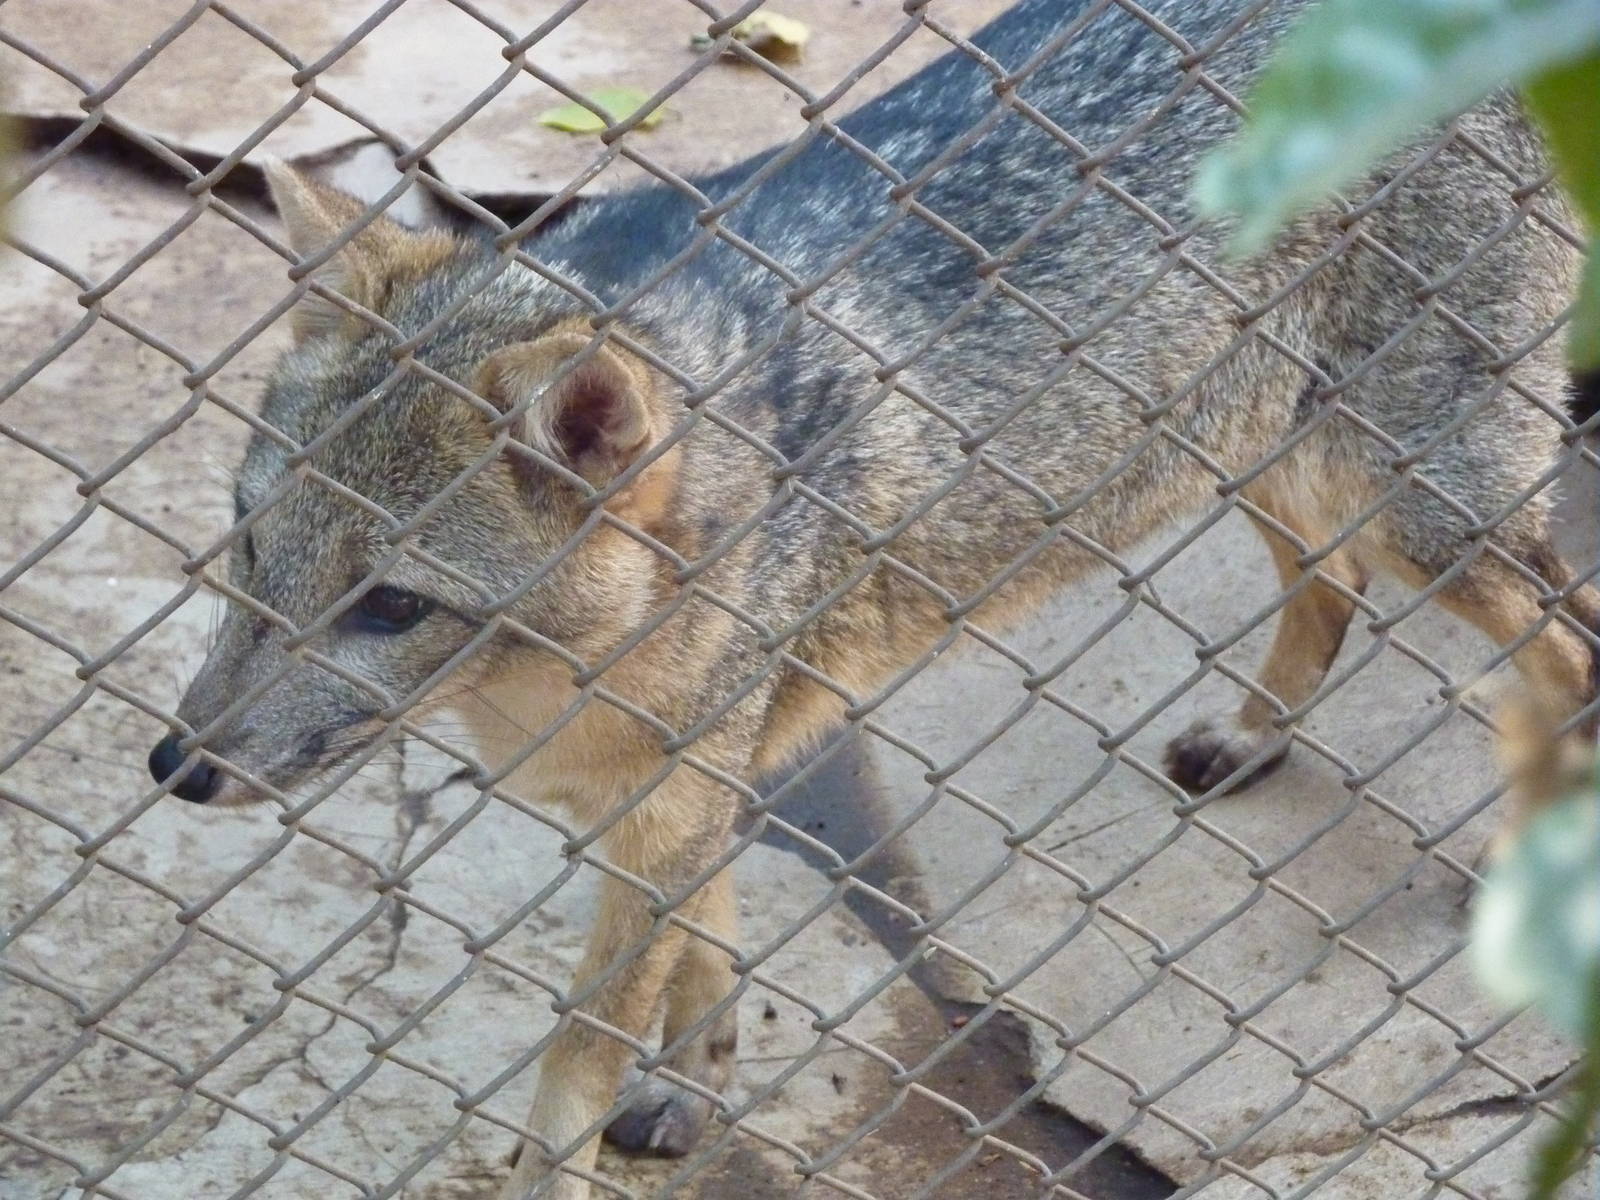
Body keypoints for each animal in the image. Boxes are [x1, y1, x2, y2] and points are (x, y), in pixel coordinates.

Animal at [146, 0, 1597, 1196]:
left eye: (388, 608)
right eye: (248, 542)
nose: (175, 768)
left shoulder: (673, 794)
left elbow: (574, 1069)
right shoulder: (678, 794)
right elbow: (710, 952)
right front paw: (693, 1087)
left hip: (1422, 511)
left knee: (1566, 647)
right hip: (1269, 464)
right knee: (1331, 586)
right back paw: (1254, 735)